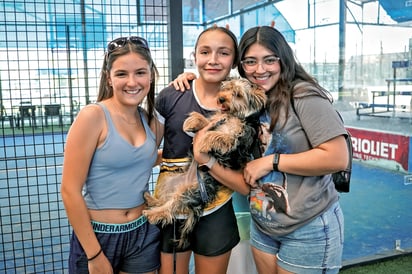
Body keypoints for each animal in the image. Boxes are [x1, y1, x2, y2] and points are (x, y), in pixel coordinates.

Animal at [143, 78, 266, 247]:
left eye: (238, 94)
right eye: (226, 89)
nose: (221, 99)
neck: (232, 115)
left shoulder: (234, 138)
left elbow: (218, 136)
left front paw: (204, 141)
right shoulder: (217, 120)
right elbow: (208, 121)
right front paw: (193, 121)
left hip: (190, 192)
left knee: (171, 208)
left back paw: (153, 214)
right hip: (169, 180)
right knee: (165, 200)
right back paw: (151, 200)